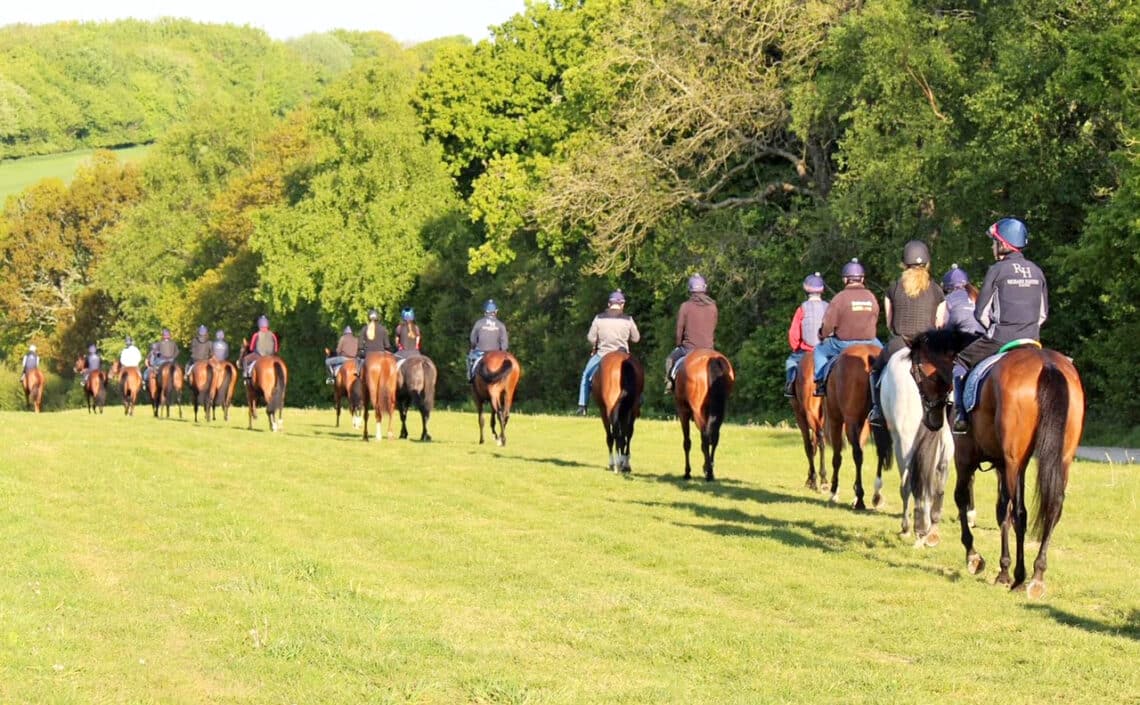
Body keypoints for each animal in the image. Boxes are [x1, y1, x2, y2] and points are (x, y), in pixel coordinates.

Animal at [670, 349, 734, 481]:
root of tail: (714, 359)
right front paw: (705, 465)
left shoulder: (683, 412)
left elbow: (687, 443)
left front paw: (687, 472)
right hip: (719, 411)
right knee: (714, 438)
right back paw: (710, 470)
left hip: (697, 411)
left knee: (705, 439)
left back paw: (708, 472)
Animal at [788, 349, 825, 488]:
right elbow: (813, 446)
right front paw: (810, 478)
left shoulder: (800, 415)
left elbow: (808, 446)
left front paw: (811, 479)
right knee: (819, 439)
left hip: (809, 412)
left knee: (819, 438)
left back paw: (822, 478)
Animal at [825, 342, 893, 508]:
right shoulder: (866, 423)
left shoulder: (836, 420)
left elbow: (837, 457)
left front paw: (834, 491)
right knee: (880, 452)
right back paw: (876, 494)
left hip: (848, 421)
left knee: (857, 455)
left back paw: (860, 498)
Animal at [907, 326, 1085, 597]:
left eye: (914, 372)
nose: (931, 420)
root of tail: (1046, 364)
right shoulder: (1001, 464)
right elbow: (1002, 511)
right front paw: (1003, 570)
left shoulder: (965, 457)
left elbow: (962, 498)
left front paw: (974, 557)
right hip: (1060, 459)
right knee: (1053, 508)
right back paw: (1038, 574)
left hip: (1015, 461)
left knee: (1021, 513)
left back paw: (1022, 578)